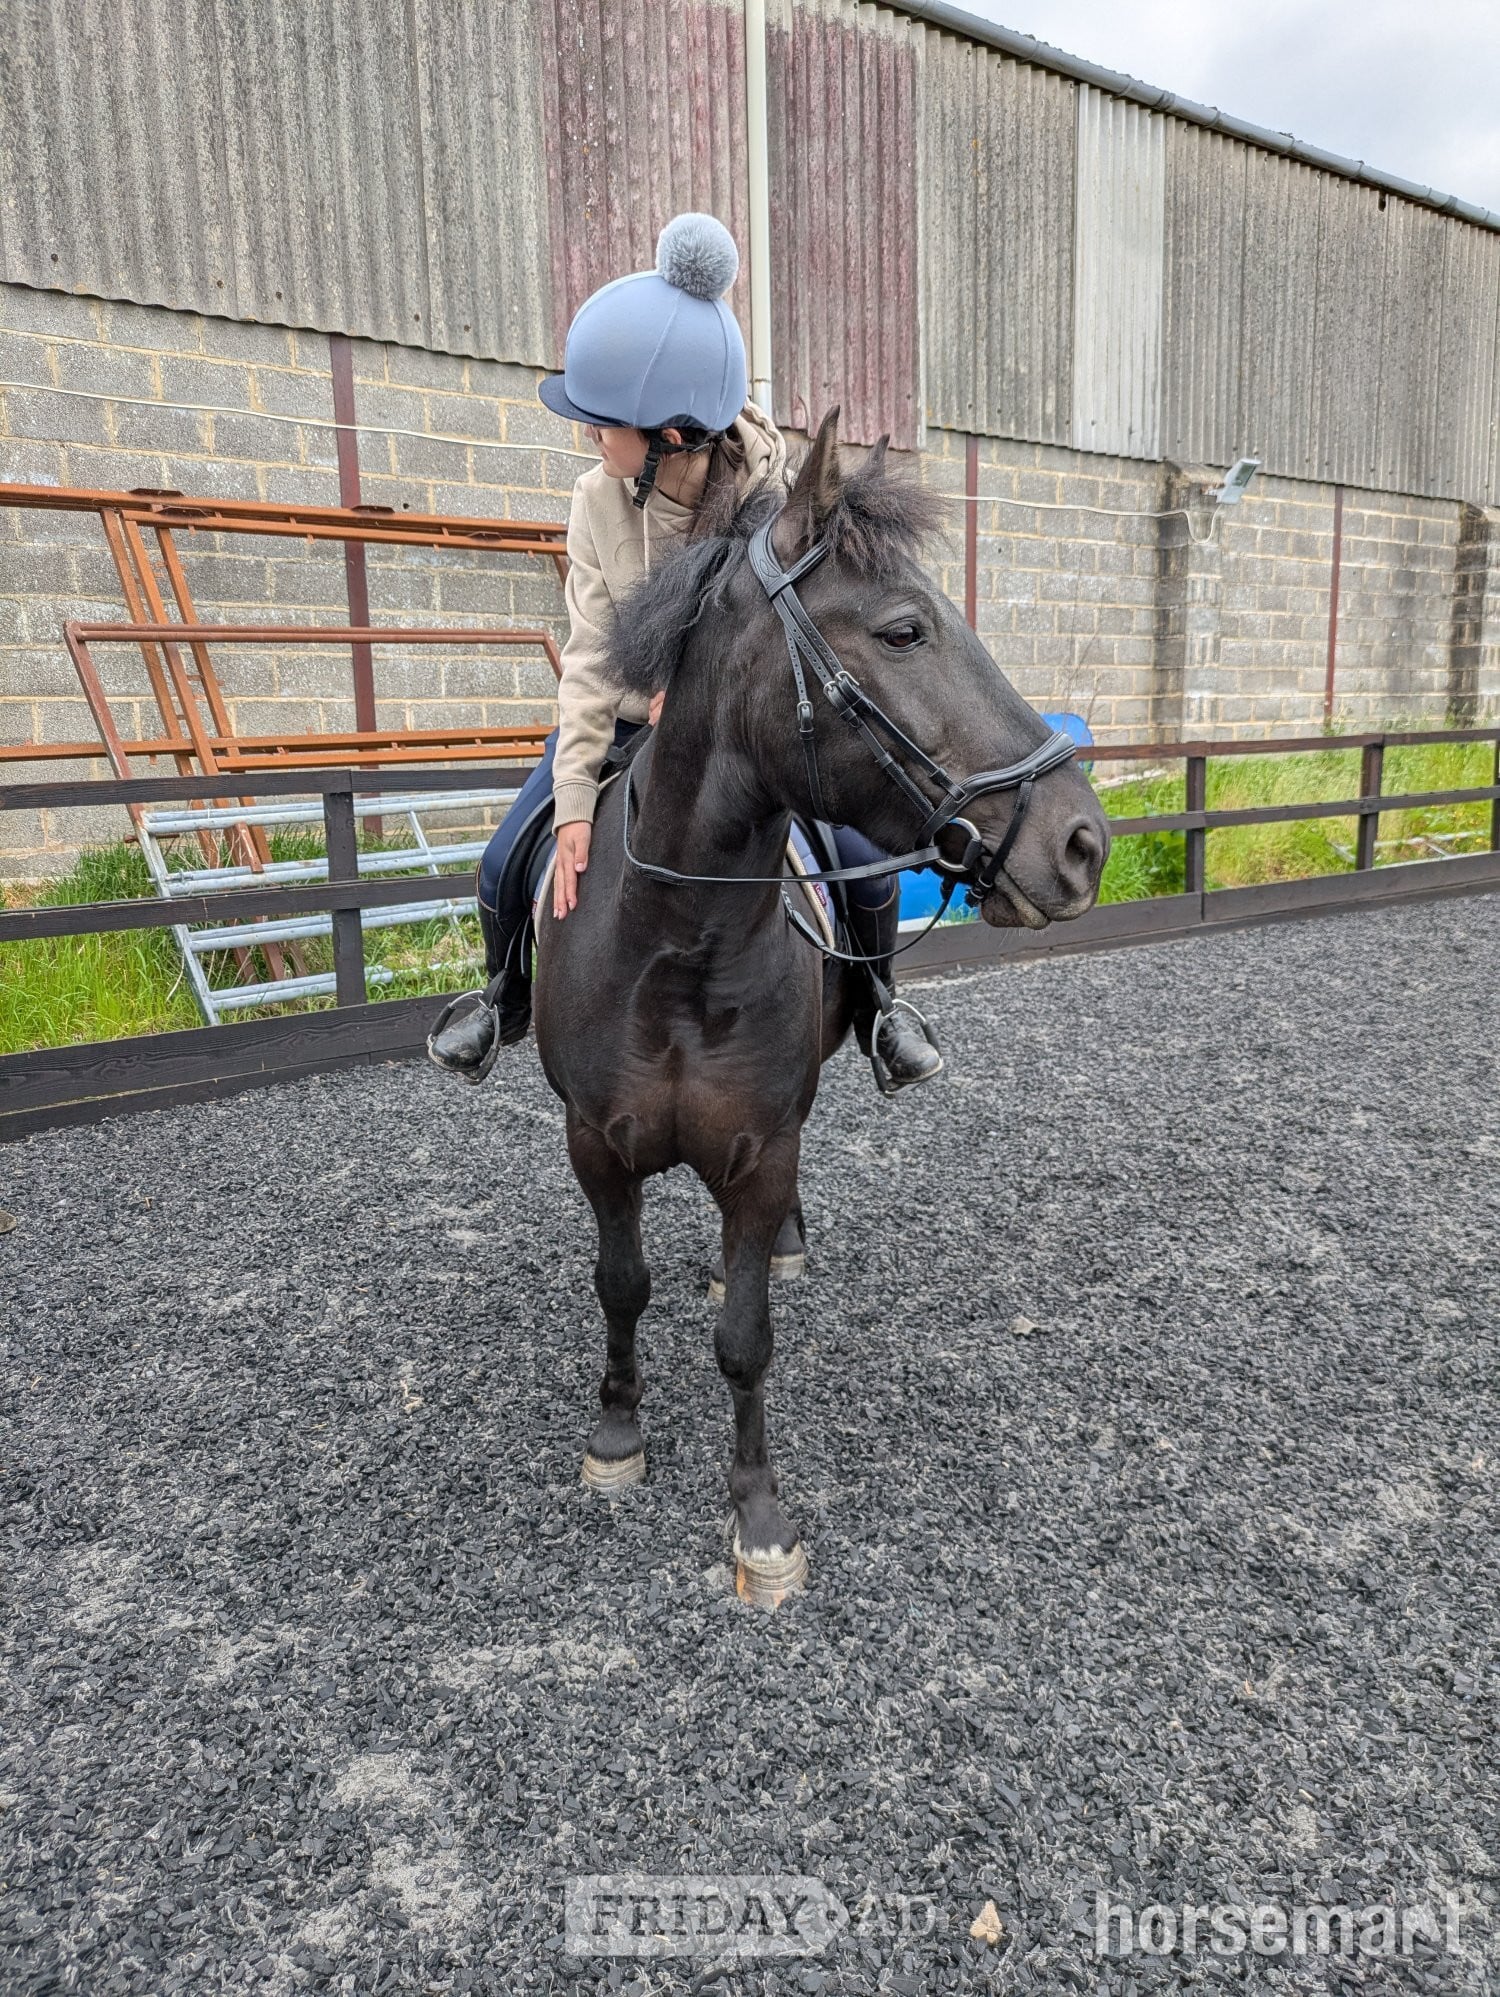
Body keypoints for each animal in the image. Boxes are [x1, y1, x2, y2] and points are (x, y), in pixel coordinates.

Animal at [533, 410, 1110, 1605]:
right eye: (903, 630)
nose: (1085, 841)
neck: (676, 946)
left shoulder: (762, 1149)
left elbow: (746, 1336)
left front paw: (757, 1519)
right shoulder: (595, 1145)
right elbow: (621, 1283)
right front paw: (616, 1437)